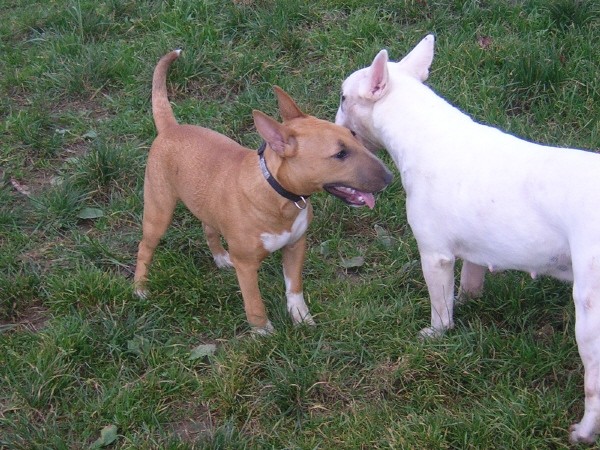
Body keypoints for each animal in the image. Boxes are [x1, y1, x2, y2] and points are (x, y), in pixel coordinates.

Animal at [134, 51, 392, 334]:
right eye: (340, 154)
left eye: (353, 134)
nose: (390, 178)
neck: (279, 195)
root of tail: (171, 128)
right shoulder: (246, 265)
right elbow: (254, 301)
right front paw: (263, 333)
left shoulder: (296, 246)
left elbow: (294, 287)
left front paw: (302, 319)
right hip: (158, 209)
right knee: (145, 247)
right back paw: (140, 289)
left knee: (208, 227)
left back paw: (220, 258)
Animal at [336, 34, 600, 442]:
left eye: (343, 97)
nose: (333, 125)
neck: (421, 129)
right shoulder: (475, 253)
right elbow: (468, 284)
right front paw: (468, 301)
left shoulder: (434, 255)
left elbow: (440, 306)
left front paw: (434, 334)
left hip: (590, 314)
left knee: (594, 383)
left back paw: (583, 433)